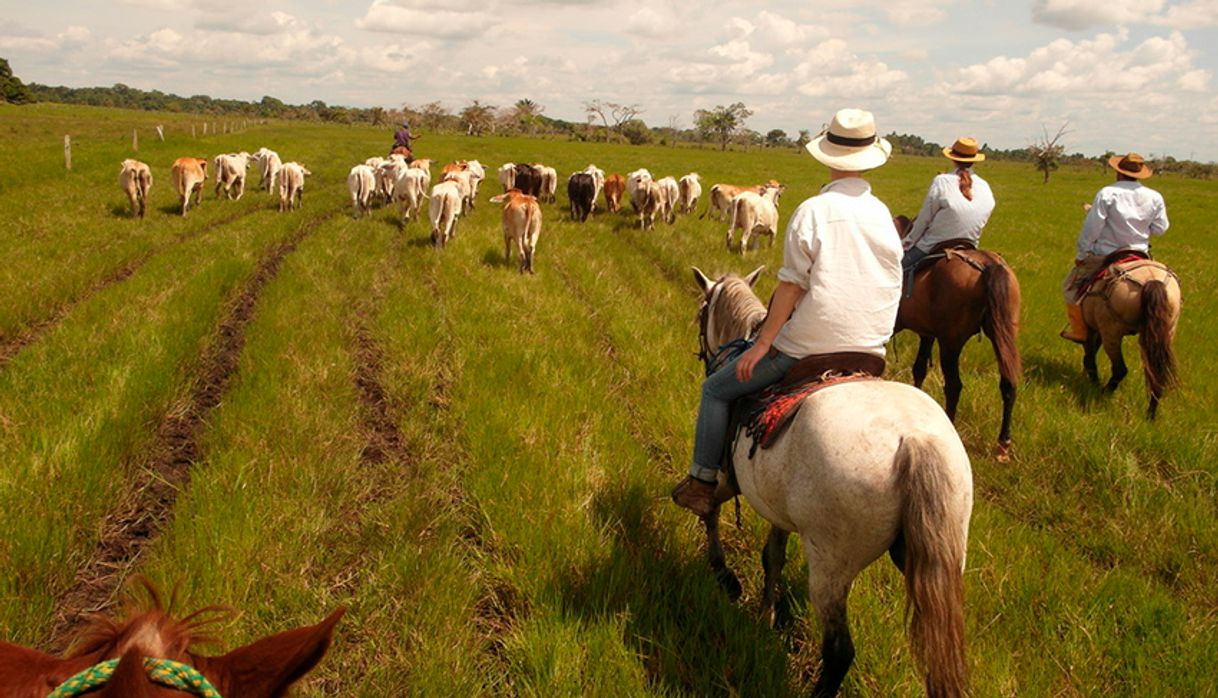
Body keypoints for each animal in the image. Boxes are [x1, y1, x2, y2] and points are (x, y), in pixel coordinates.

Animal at [896, 216, 1018, 458]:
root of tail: (989, 265)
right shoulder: (927, 334)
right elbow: (919, 368)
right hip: (1002, 336)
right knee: (1009, 384)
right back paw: (1003, 444)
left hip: (950, 344)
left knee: (954, 386)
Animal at [1086, 257, 1179, 416]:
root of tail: (1152, 281)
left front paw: (1092, 379)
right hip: (1163, 334)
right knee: (1156, 375)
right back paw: (1150, 415)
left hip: (1111, 333)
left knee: (1120, 369)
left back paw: (1102, 393)